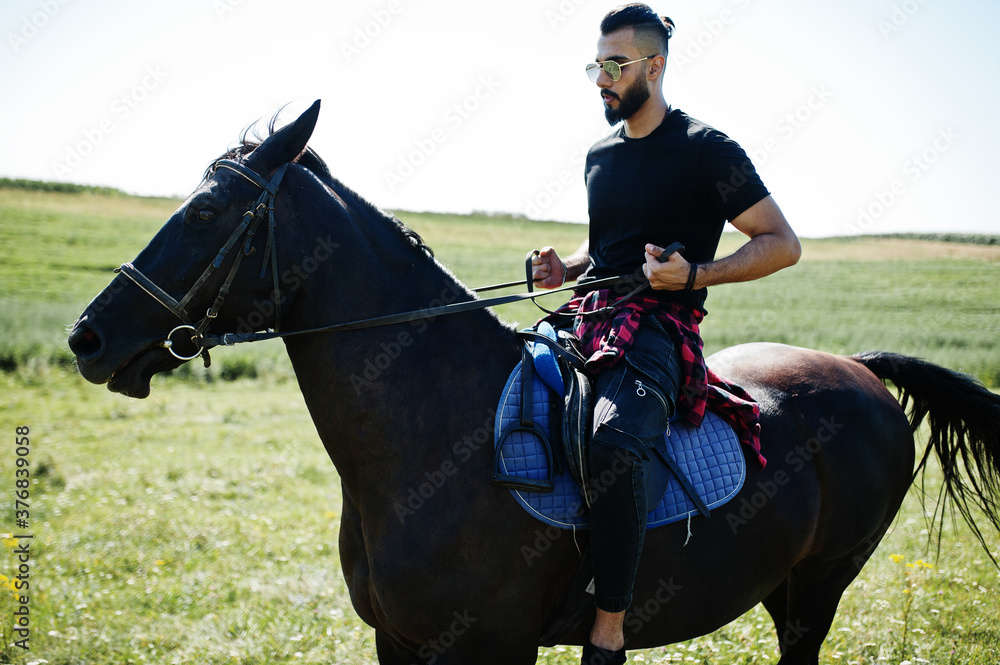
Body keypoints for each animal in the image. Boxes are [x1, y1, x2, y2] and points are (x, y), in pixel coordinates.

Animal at [68, 101, 1000, 664]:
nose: (88, 336)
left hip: (816, 590)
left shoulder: (492, 646)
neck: (434, 436)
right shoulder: (398, 642)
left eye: (203, 212)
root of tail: (861, 371)